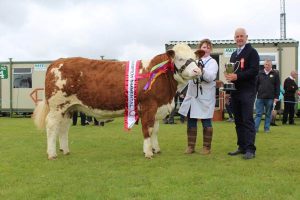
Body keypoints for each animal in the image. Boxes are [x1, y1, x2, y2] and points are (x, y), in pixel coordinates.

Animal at [32, 43, 204, 159]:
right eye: (180, 58)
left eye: (195, 58)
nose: (197, 70)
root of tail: (57, 62)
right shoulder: (148, 106)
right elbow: (147, 130)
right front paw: (148, 152)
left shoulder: (158, 108)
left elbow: (155, 130)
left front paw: (156, 149)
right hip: (57, 106)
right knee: (52, 126)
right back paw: (52, 153)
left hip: (69, 108)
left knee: (64, 128)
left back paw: (65, 150)